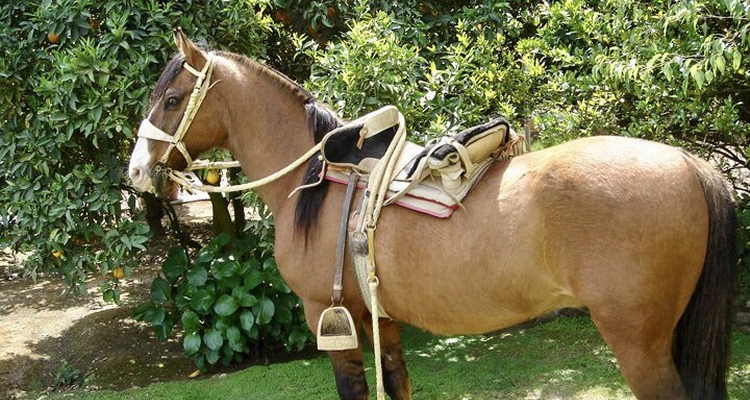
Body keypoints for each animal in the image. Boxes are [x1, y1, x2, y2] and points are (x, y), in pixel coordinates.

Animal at [128, 28, 740, 400]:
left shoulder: (329, 319)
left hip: (638, 341)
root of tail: (692, 165)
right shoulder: (380, 320)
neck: (315, 183)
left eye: (173, 100)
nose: (136, 172)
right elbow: (397, 383)